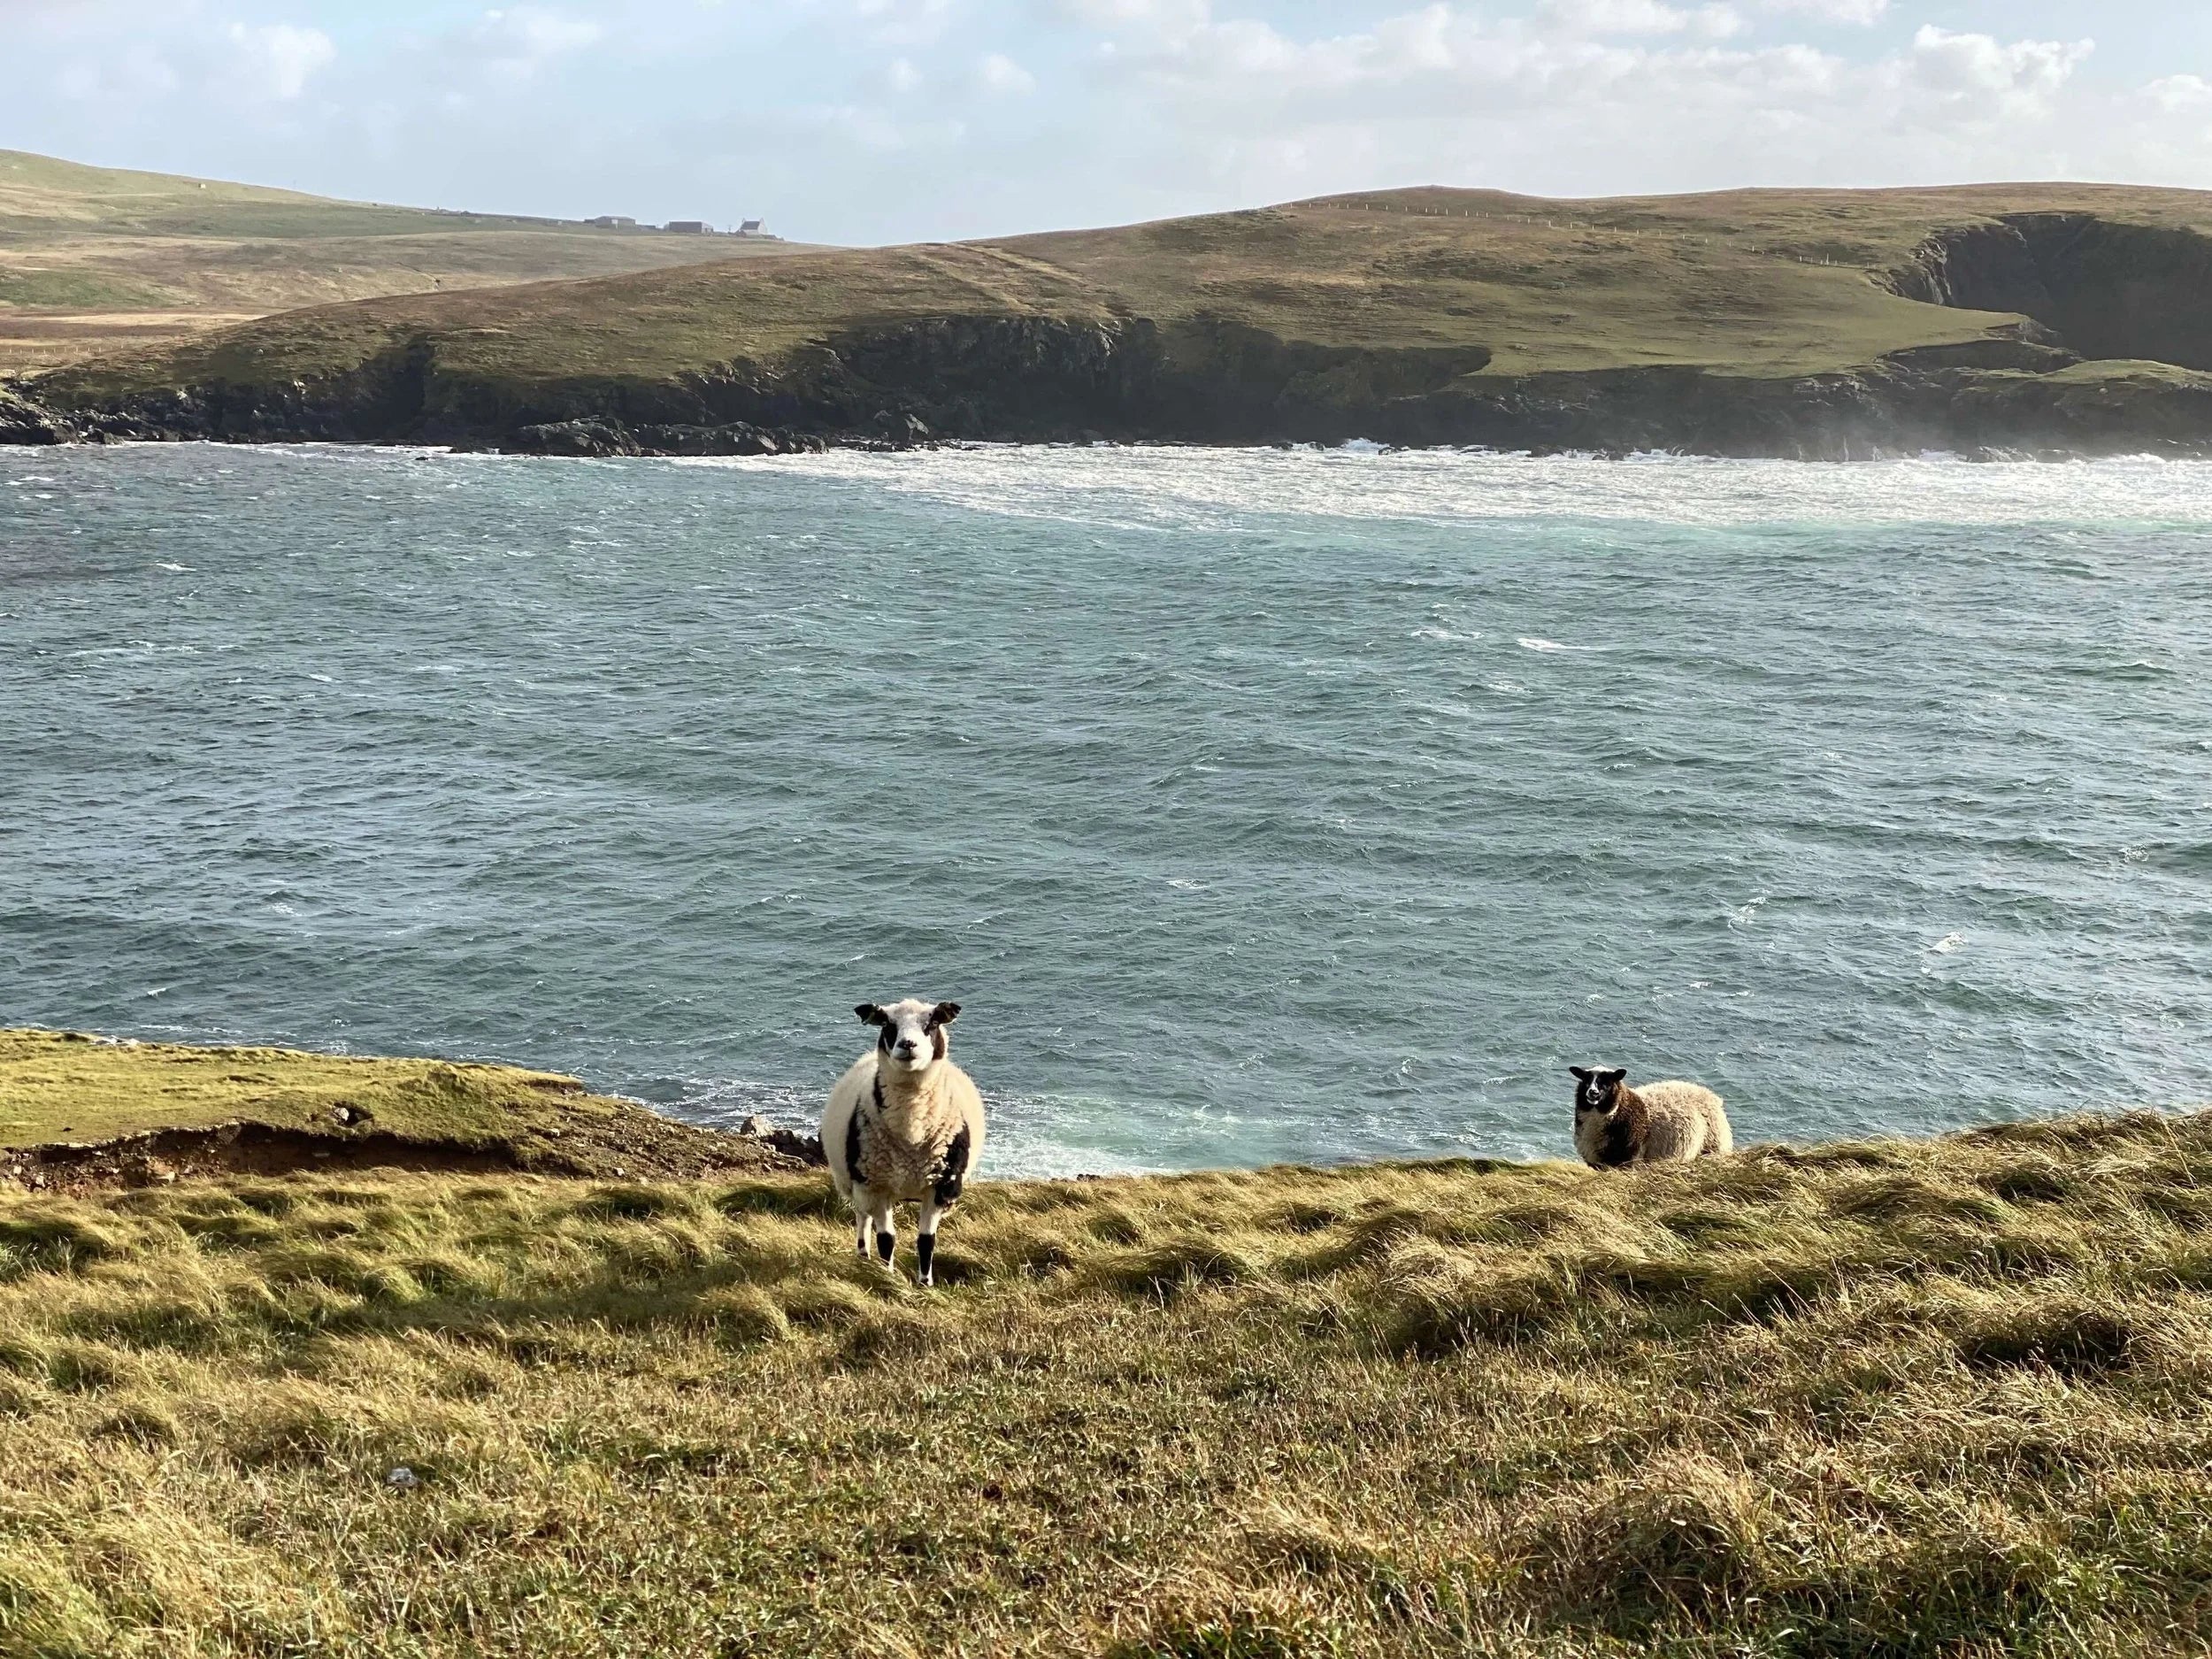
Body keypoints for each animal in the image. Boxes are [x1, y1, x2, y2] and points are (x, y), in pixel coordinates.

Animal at [820, 998, 986, 1287]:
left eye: (933, 1022)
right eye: (887, 1024)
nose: (908, 1045)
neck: (912, 1131)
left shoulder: (940, 1187)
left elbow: (926, 1241)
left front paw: (925, 1284)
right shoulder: (875, 1186)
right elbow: (886, 1240)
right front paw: (887, 1277)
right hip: (853, 1181)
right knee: (862, 1217)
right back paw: (863, 1256)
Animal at [1569, 1066, 1732, 1168]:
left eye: (1607, 1082)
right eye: (1586, 1080)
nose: (1593, 1093)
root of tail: (1711, 1095)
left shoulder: (1629, 1160)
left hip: (1713, 1146)